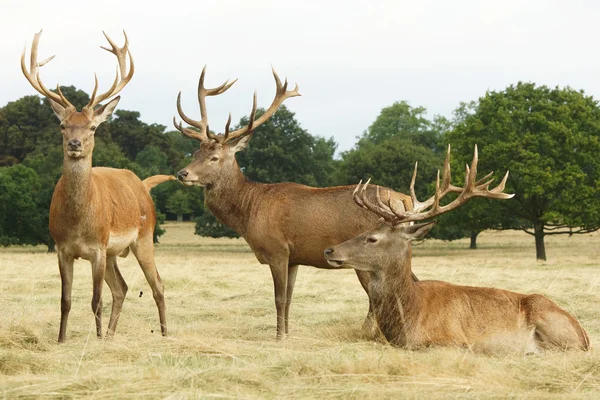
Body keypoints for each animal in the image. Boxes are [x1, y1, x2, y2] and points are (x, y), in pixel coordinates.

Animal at [21, 31, 173, 342]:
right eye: (62, 126)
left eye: (92, 127)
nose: (74, 143)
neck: (78, 223)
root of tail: (142, 184)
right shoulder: (62, 248)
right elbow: (66, 300)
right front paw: (62, 340)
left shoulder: (98, 249)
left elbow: (95, 299)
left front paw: (97, 339)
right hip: (116, 252)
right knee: (122, 288)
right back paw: (113, 335)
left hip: (144, 236)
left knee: (158, 284)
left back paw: (164, 334)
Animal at [171, 66, 420, 338]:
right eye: (195, 152)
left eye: (214, 157)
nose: (182, 173)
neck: (249, 210)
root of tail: (406, 200)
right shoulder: (294, 258)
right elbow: (290, 298)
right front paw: (288, 333)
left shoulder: (277, 249)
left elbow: (279, 298)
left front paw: (279, 336)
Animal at [324, 147, 592, 354]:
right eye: (366, 230)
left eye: (372, 238)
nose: (329, 251)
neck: (409, 317)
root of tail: (585, 335)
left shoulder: (454, 340)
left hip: (554, 326)